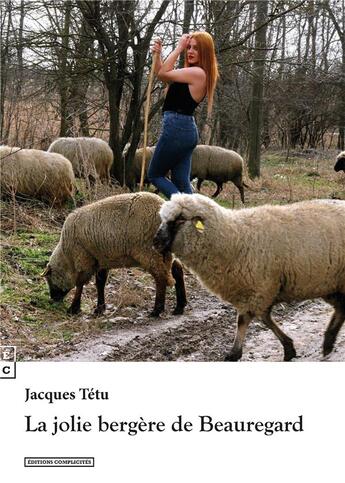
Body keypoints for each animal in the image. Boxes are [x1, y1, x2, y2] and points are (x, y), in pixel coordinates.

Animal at [44, 191, 187, 320]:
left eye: (49, 280)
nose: (53, 299)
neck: (67, 257)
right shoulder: (101, 259)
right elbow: (100, 283)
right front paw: (99, 309)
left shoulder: (84, 258)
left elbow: (80, 284)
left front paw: (74, 308)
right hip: (165, 250)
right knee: (177, 269)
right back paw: (179, 307)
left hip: (150, 250)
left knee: (160, 277)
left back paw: (157, 310)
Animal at [155, 195, 344, 362]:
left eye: (180, 219)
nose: (155, 242)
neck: (233, 239)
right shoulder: (256, 291)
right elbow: (263, 319)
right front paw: (288, 348)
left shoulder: (260, 289)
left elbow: (245, 320)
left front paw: (234, 353)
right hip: (329, 284)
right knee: (341, 309)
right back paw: (328, 342)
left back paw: (328, 341)